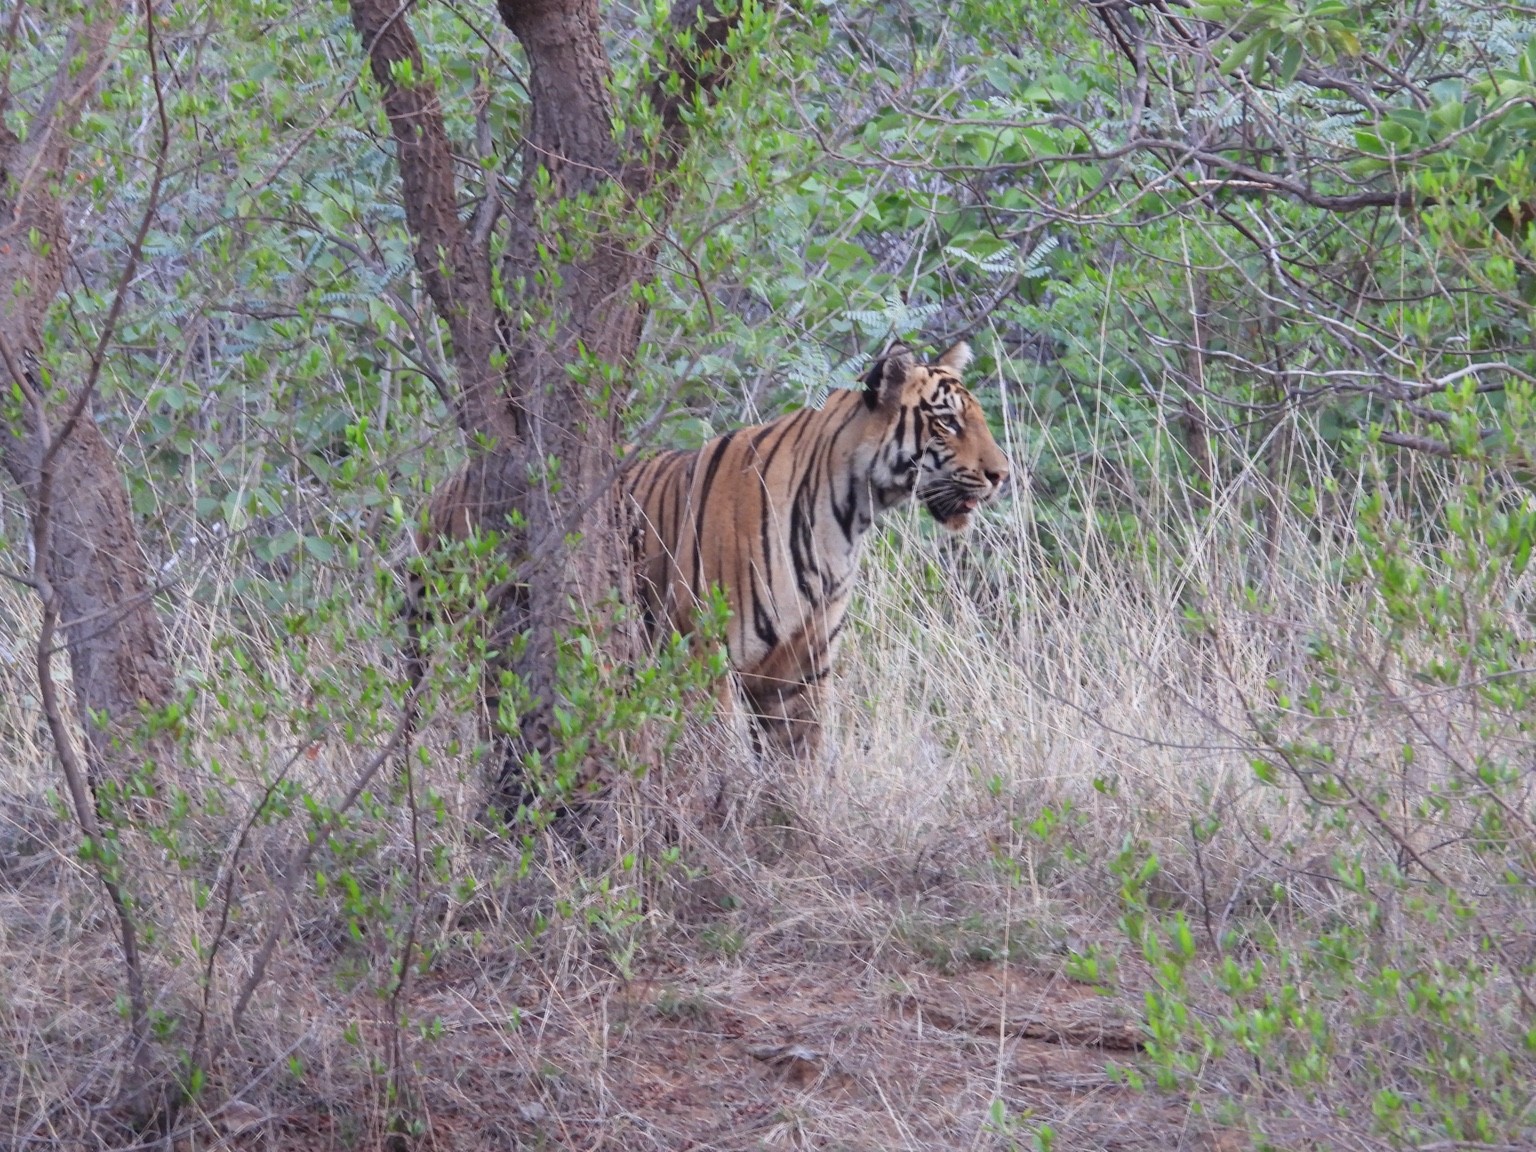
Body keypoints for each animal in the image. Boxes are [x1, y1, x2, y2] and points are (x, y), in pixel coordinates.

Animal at [624, 341, 1010, 758]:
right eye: (948, 422)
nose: (1003, 475)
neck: (846, 519)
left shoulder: (799, 669)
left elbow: (801, 761)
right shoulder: (702, 653)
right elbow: (714, 754)